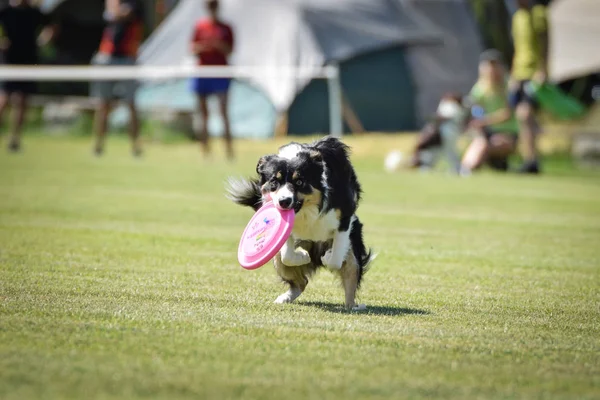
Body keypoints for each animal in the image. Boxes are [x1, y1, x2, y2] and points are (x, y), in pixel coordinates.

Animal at [227, 135, 372, 310]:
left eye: (299, 182)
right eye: (274, 182)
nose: (284, 201)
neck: (306, 210)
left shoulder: (345, 217)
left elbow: (336, 259)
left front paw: (328, 257)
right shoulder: (286, 230)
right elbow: (287, 256)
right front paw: (302, 256)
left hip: (352, 253)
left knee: (350, 276)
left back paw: (353, 306)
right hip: (277, 258)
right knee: (301, 281)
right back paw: (286, 297)